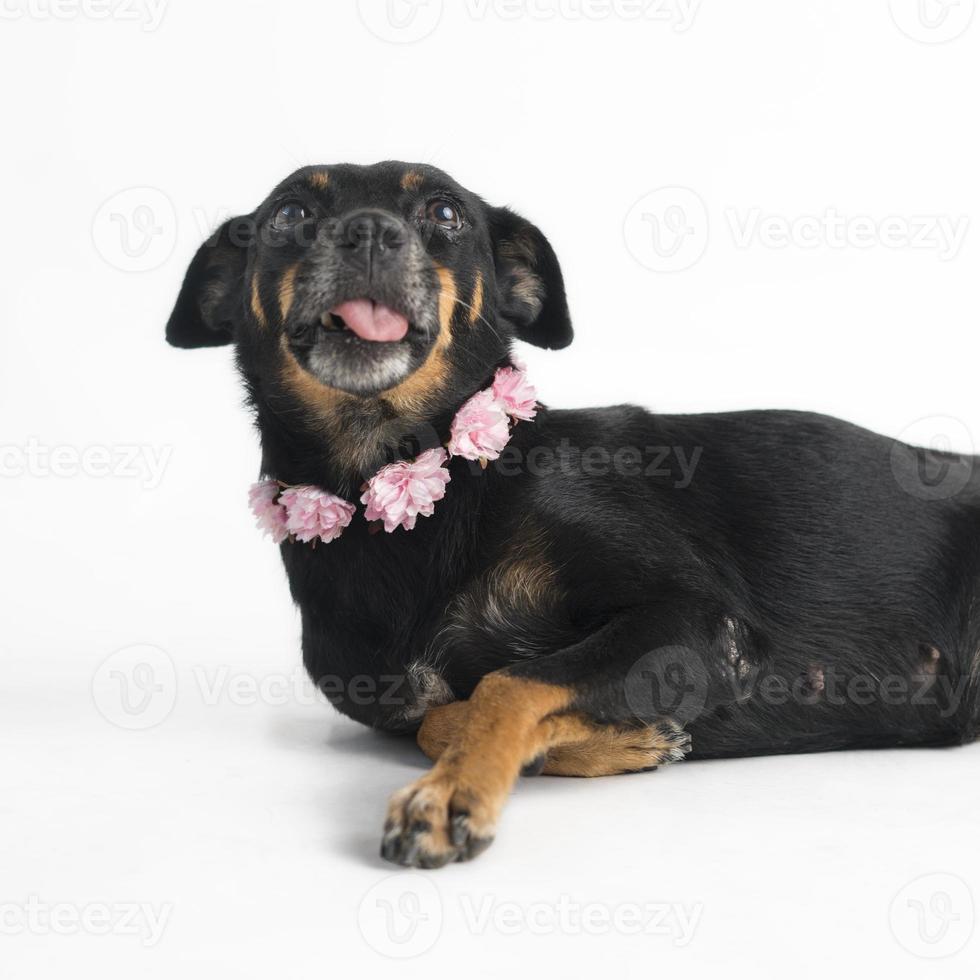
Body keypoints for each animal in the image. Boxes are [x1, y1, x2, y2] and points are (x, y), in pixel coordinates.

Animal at [167, 163, 980, 872]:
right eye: (290, 213)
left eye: (444, 211)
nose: (368, 231)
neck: (410, 502)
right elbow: (443, 714)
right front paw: (623, 742)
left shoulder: (698, 617)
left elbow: (506, 684)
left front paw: (450, 796)